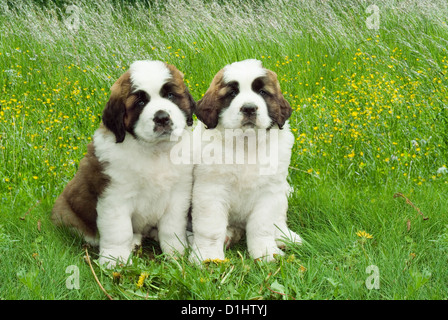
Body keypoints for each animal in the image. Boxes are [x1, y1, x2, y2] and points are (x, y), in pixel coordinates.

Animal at [51, 60, 195, 268]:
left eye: (170, 95)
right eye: (141, 103)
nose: (162, 117)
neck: (154, 151)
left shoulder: (178, 195)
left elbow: (172, 226)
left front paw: (176, 253)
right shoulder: (115, 196)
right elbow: (119, 230)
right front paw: (115, 260)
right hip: (67, 212)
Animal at [191, 58, 302, 262]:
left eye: (262, 92)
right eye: (232, 93)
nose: (249, 108)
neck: (246, 144)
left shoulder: (269, 191)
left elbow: (263, 226)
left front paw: (267, 253)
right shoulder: (210, 191)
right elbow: (210, 228)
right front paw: (208, 257)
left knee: (279, 217)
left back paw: (285, 237)